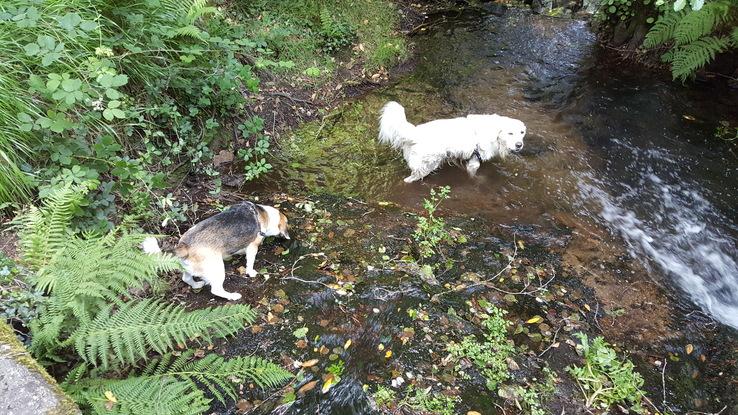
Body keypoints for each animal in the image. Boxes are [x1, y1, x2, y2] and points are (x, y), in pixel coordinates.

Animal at [380, 101, 524, 182]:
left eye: (522, 133)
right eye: (510, 133)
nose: (519, 145)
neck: (495, 132)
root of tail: (415, 132)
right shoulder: (474, 161)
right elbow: (474, 175)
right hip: (429, 163)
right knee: (412, 178)